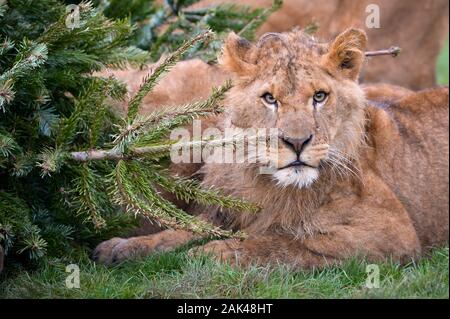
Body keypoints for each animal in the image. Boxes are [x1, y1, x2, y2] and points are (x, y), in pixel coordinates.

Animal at [93, 28, 448, 268]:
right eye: (269, 98)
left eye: (320, 96)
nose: (297, 142)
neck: (268, 185)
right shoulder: (224, 213)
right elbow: (178, 233)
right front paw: (123, 247)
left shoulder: (391, 234)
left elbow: (280, 242)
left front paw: (210, 253)